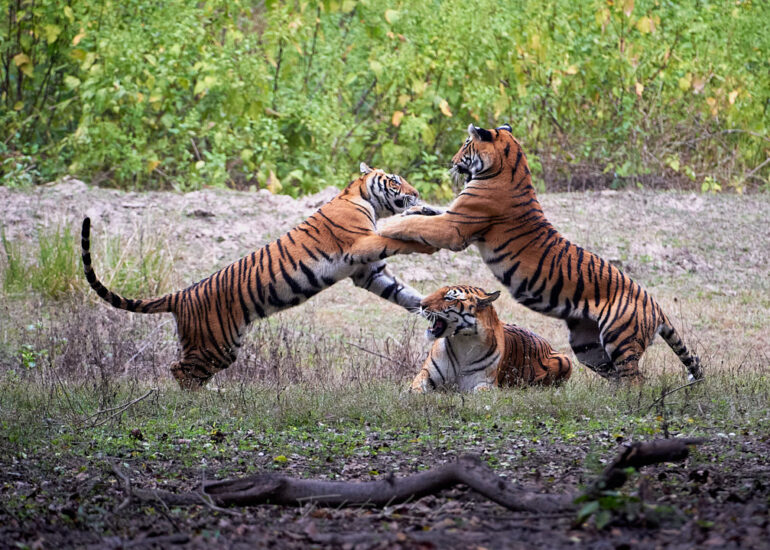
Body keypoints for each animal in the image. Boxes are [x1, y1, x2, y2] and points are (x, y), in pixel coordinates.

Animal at [81, 163, 435, 389]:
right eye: (395, 180)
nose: (417, 192)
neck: (360, 196)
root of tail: (181, 294)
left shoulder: (366, 271)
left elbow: (401, 291)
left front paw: (430, 308)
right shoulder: (362, 244)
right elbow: (393, 237)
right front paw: (424, 234)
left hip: (217, 347)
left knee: (184, 370)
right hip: (214, 346)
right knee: (179, 371)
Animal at [410, 285, 572, 393]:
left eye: (449, 298)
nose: (421, 304)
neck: (463, 341)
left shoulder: (485, 383)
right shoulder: (426, 373)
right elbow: (416, 389)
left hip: (566, 359)